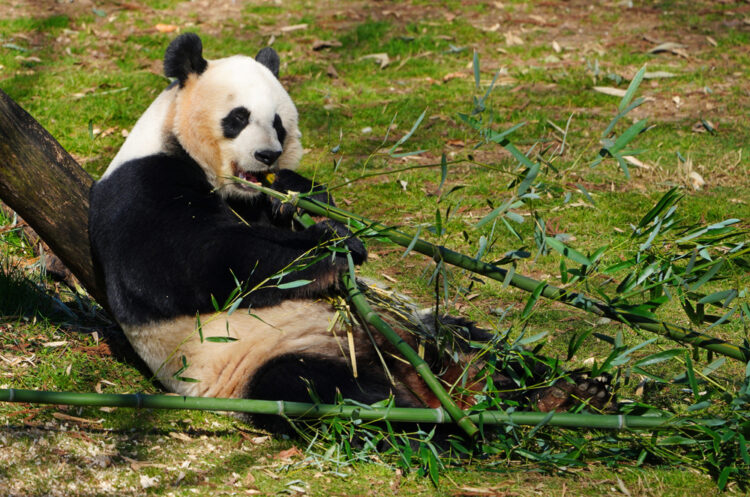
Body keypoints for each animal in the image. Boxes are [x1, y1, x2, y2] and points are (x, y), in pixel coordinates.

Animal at [88, 33, 612, 434]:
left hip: (415, 328)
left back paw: (562, 392)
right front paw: (330, 256)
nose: (267, 155)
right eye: (237, 118)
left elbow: (299, 205)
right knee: (325, 390)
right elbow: (188, 262)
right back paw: (438, 417)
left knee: (476, 342)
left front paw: (311, 209)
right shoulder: (141, 188)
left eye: (278, 123)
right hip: (256, 361)